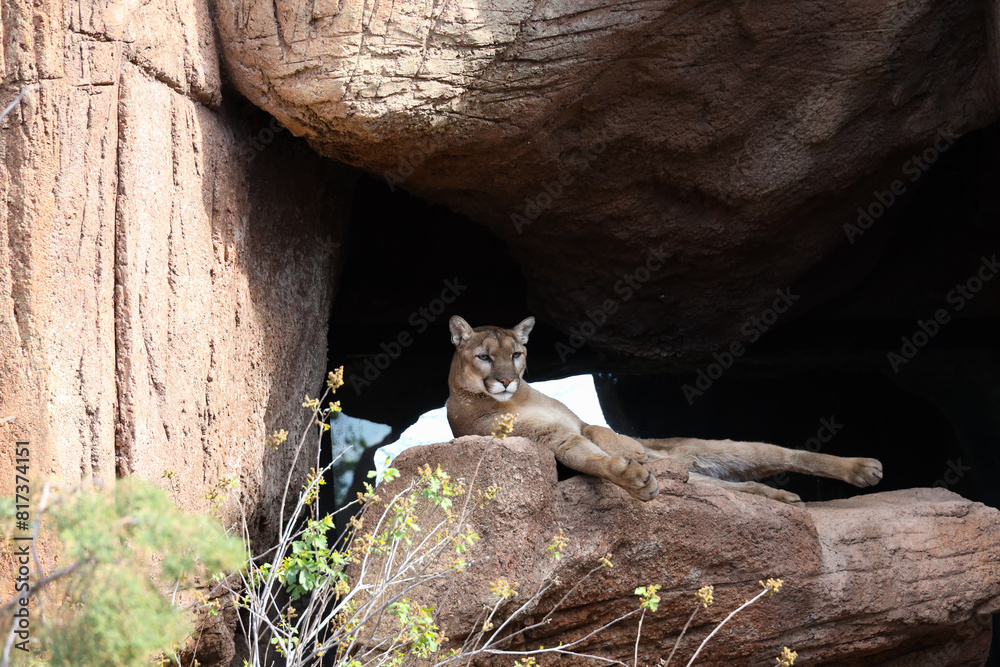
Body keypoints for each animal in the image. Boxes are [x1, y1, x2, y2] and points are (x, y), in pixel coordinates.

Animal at [446, 315, 883, 503]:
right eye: (485, 357)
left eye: (516, 354)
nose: (506, 380)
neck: (520, 398)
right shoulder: (547, 438)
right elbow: (590, 458)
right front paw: (633, 477)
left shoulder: (579, 423)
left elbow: (600, 433)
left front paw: (631, 452)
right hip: (702, 474)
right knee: (732, 485)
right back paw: (777, 496)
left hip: (710, 447)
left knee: (784, 455)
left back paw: (862, 468)